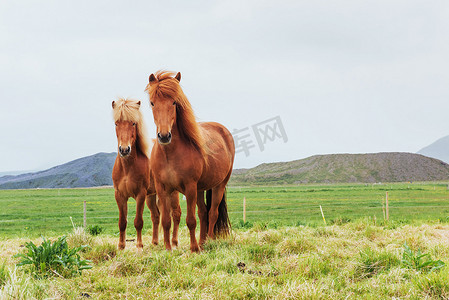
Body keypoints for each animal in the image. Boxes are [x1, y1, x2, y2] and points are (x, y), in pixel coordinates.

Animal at [112, 98, 182, 248]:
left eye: (133, 123)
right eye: (116, 123)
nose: (124, 150)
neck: (127, 167)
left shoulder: (140, 194)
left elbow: (138, 221)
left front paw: (139, 245)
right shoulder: (120, 195)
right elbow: (122, 222)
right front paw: (121, 246)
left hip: (172, 193)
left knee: (176, 214)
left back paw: (174, 242)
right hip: (152, 196)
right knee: (156, 216)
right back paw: (155, 242)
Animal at [144, 71, 236, 252]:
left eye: (174, 102)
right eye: (152, 103)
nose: (164, 136)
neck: (170, 154)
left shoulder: (190, 187)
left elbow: (191, 220)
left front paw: (193, 249)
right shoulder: (163, 189)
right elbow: (166, 220)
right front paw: (168, 248)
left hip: (218, 185)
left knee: (212, 213)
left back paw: (210, 241)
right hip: (200, 188)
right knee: (203, 212)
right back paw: (203, 242)